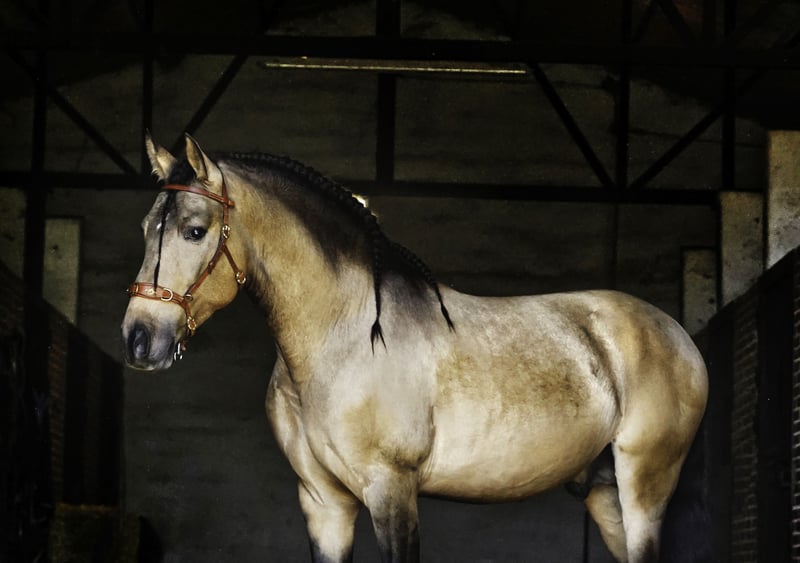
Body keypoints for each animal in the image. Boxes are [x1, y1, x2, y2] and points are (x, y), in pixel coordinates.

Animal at [121, 133, 708, 563]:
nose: (139, 339)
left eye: (195, 231)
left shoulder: (391, 491)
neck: (343, 335)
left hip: (644, 488)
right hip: (603, 493)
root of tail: (675, 335)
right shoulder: (323, 504)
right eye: (147, 227)